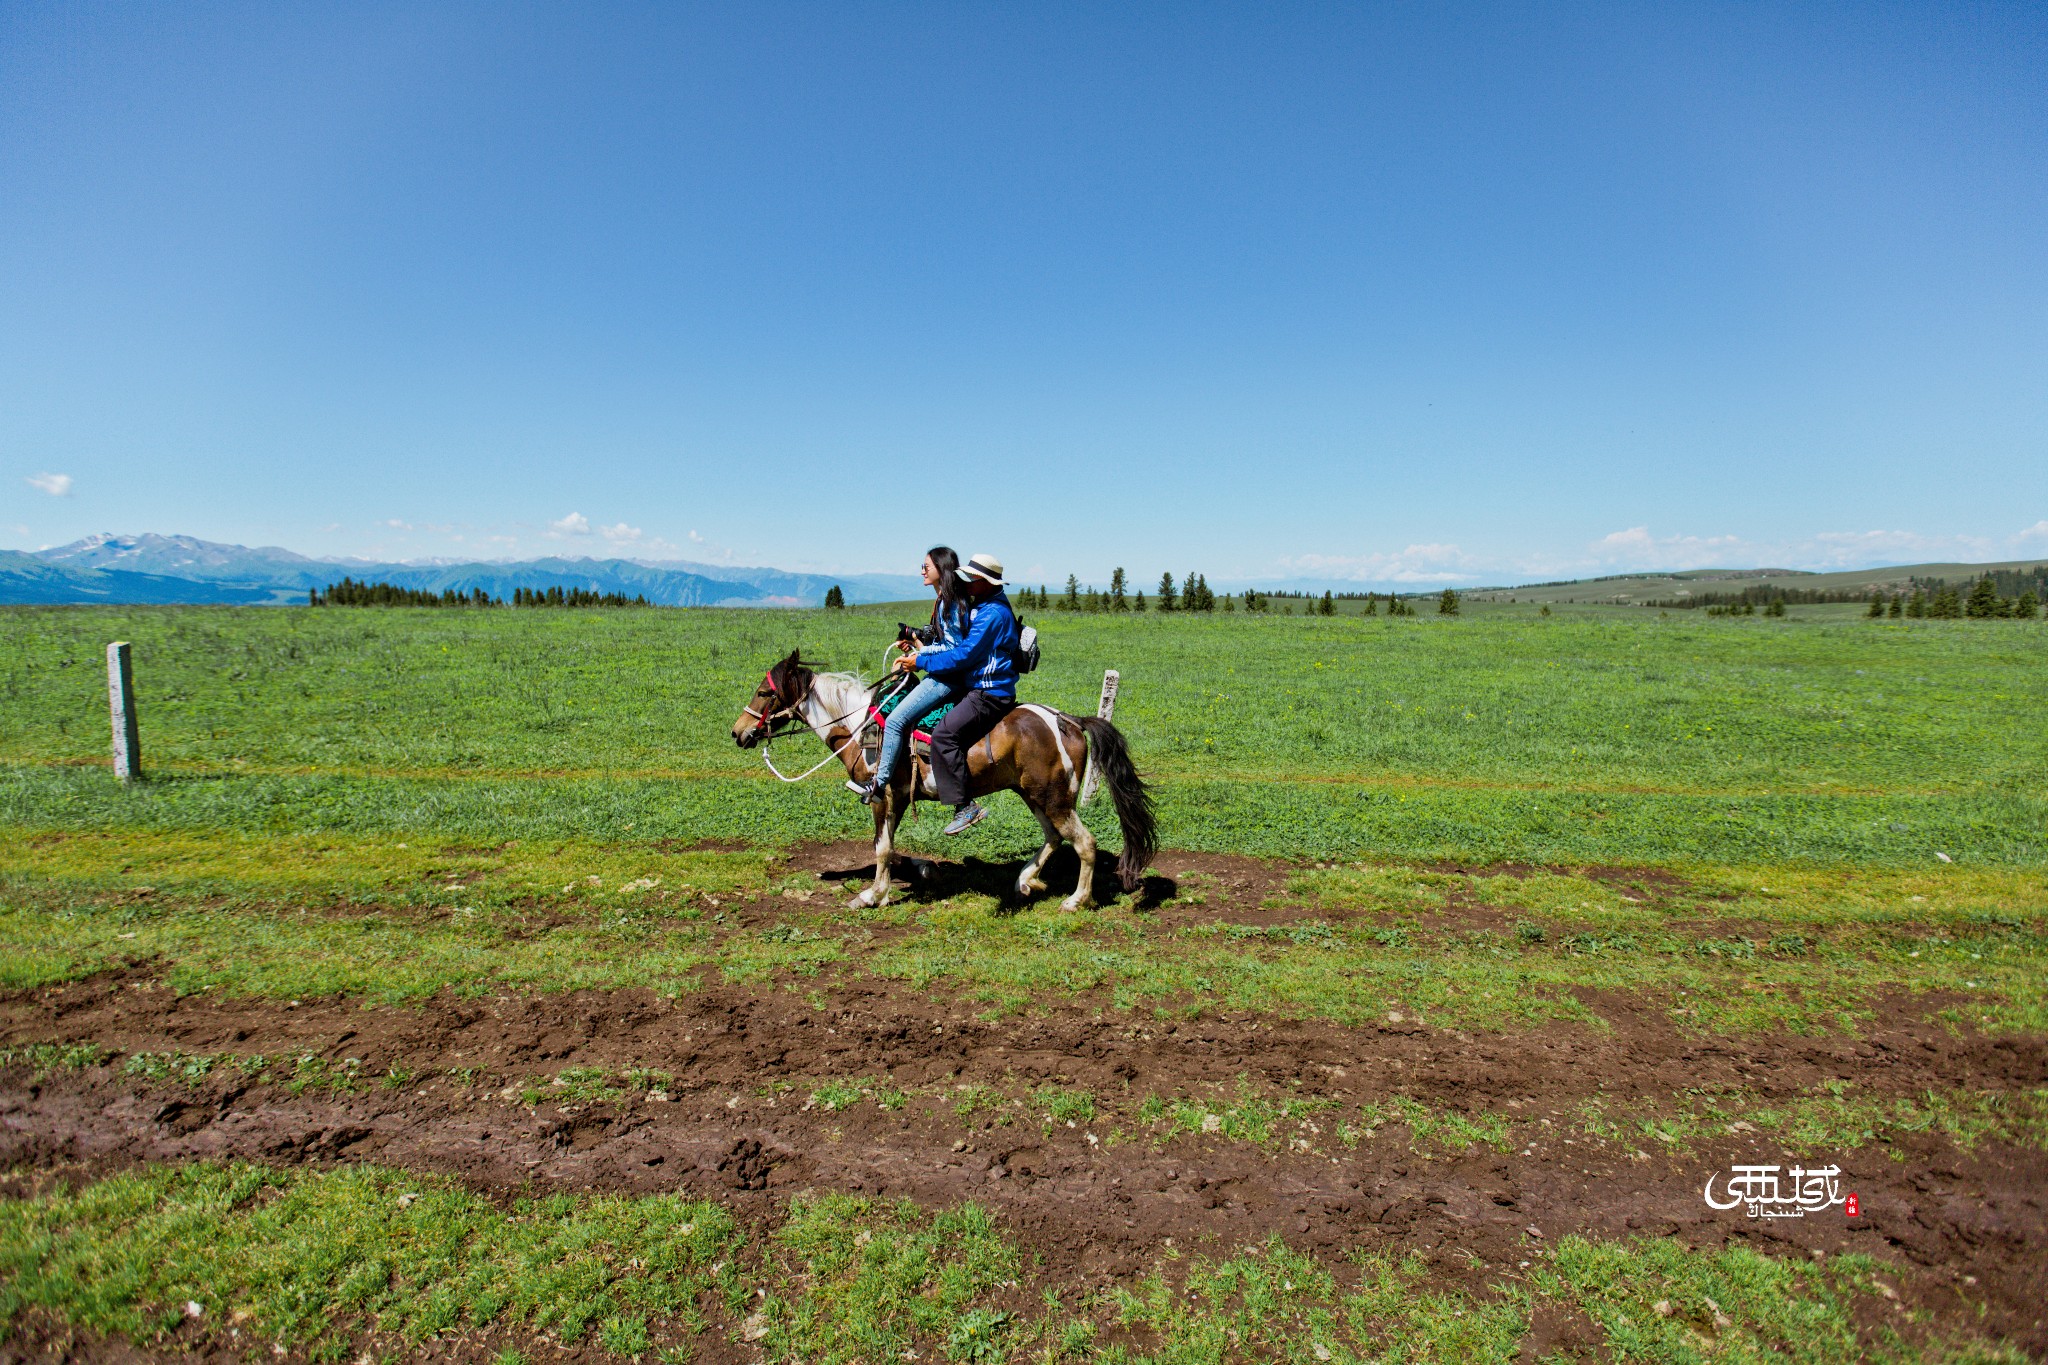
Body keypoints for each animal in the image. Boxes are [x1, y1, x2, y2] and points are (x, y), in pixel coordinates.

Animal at [733, 650, 1155, 908]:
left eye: (763, 691)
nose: (738, 733)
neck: (860, 726)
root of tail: (1067, 720)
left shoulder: (883, 794)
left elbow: (881, 848)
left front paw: (871, 895)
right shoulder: (898, 799)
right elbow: (888, 847)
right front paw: (915, 874)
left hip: (1054, 798)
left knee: (1085, 843)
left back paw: (1075, 900)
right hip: (1033, 795)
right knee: (1054, 838)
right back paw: (1024, 881)